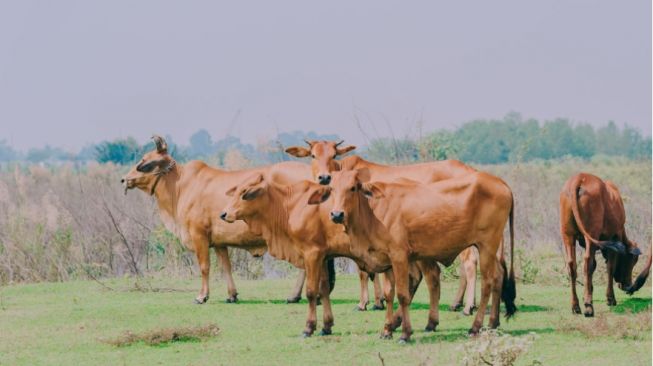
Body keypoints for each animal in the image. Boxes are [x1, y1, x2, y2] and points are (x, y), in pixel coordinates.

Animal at [123, 136, 316, 304]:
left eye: (145, 162)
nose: (124, 180)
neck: (180, 186)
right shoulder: (219, 242)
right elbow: (226, 267)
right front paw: (232, 295)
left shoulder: (198, 235)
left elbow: (204, 266)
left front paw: (202, 296)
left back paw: (295, 295)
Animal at [219, 174, 438, 338]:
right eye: (236, 191)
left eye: (245, 193)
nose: (223, 214)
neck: (290, 205)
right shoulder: (324, 256)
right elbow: (324, 290)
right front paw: (326, 326)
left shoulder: (312, 254)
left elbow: (311, 291)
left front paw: (309, 328)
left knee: (425, 279)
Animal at [286, 140, 478, 314]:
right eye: (313, 155)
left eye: (333, 155)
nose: (324, 177)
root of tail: (472, 171)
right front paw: (378, 302)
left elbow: (364, 271)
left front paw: (364, 303)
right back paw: (461, 303)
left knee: (469, 263)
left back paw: (467, 306)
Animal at [326, 170, 516, 342]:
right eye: (332, 188)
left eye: (352, 188)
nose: (336, 214)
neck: (373, 210)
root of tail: (501, 183)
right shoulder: (387, 261)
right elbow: (389, 295)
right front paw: (387, 330)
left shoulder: (399, 257)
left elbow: (402, 295)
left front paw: (405, 333)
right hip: (490, 249)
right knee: (498, 276)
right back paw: (493, 323)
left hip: (487, 246)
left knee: (487, 283)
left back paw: (475, 327)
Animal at [556, 173, 644, 316]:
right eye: (632, 260)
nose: (627, 285)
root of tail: (579, 178)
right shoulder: (614, 238)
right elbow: (610, 268)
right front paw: (610, 298)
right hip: (591, 234)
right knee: (587, 263)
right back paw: (588, 307)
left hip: (567, 235)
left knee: (571, 265)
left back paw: (576, 305)